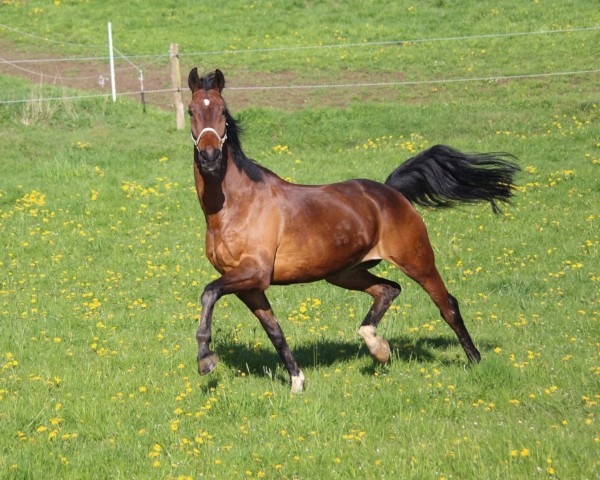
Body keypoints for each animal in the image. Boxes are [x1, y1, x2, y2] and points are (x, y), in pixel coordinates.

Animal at [189, 68, 520, 394]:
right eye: (192, 111)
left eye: (223, 110)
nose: (209, 157)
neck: (236, 206)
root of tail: (391, 192)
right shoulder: (251, 287)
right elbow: (275, 331)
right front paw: (297, 381)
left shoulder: (255, 272)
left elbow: (209, 292)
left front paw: (206, 358)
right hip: (345, 272)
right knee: (389, 289)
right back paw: (378, 347)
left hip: (417, 260)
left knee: (447, 304)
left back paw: (474, 360)